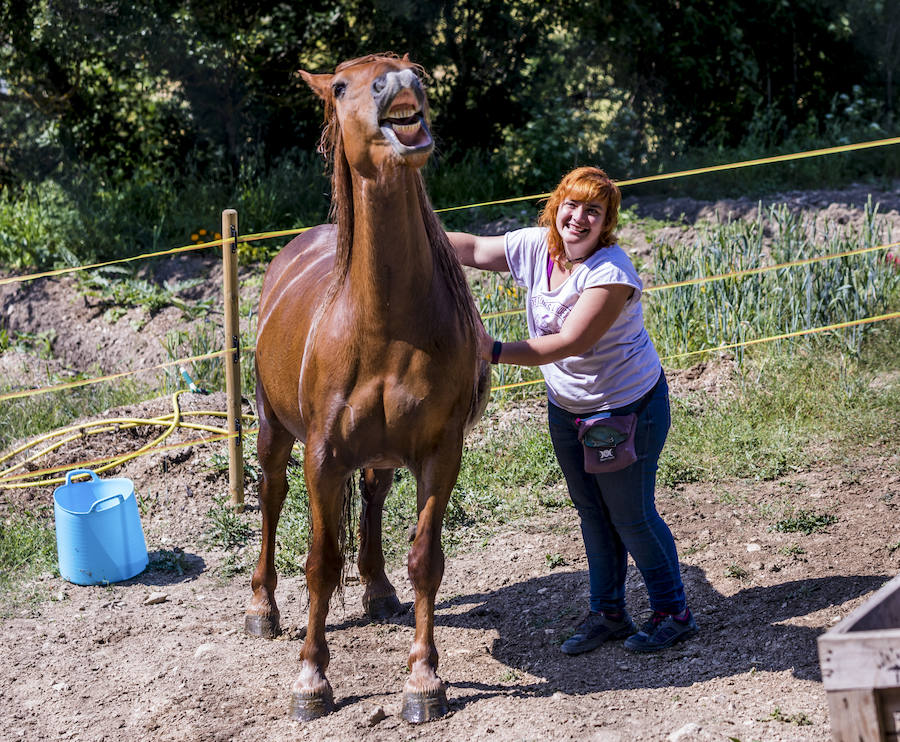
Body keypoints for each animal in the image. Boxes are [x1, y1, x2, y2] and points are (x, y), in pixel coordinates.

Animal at [243, 53, 488, 728]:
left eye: (410, 67)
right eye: (340, 86)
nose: (397, 84)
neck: (384, 323)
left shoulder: (440, 452)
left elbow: (425, 560)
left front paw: (424, 680)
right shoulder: (323, 458)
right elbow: (320, 565)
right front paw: (311, 678)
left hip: (379, 453)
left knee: (375, 498)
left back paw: (377, 591)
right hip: (273, 431)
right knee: (270, 501)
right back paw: (261, 607)